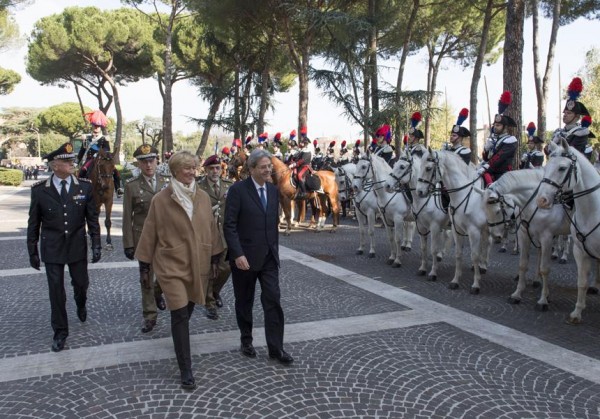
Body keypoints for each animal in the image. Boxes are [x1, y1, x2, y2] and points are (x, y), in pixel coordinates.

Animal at [384, 152, 450, 282]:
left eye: (402, 166)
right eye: (394, 165)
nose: (387, 185)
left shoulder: (435, 227)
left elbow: (433, 249)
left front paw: (433, 273)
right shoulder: (422, 227)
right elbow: (423, 248)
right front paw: (423, 269)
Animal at [414, 149, 490, 294]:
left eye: (428, 168)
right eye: (419, 167)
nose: (419, 192)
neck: (463, 195)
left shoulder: (472, 231)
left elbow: (474, 255)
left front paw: (475, 284)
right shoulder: (456, 229)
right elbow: (458, 254)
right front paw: (455, 281)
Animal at [482, 169, 572, 310]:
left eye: (497, 211)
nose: (496, 236)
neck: (534, 202)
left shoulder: (547, 237)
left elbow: (545, 268)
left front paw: (543, 300)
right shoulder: (524, 234)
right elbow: (523, 264)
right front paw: (517, 294)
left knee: (566, 240)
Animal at [536, 139, 600, 324]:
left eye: (562, 168)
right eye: (546, 166)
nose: (541, 200)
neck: (593, 211)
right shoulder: (580, 251)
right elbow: (582, 282)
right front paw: (577, 312)